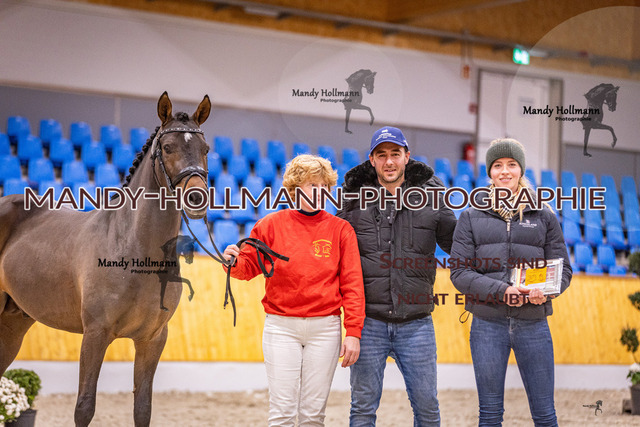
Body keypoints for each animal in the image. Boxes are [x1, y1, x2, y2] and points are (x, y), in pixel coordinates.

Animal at [0, 91, 211, 426]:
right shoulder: (95, 335)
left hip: (13, 322)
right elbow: (84, 407)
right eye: (167, 147)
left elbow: (143, 408)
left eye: (205, 149)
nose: (197, 198)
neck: (132, 248)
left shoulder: (153, 340)